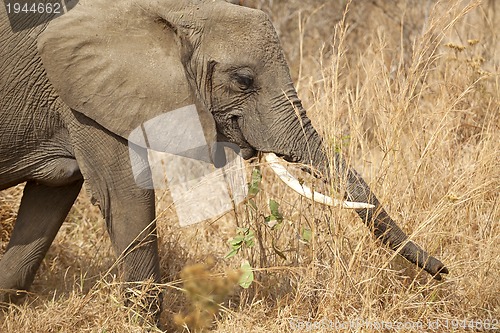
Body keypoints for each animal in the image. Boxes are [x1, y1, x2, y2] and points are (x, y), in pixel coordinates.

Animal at [0, 0, 448, 322]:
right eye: (244, 81)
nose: (444, 272)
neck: (171, 10)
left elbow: (48, 206)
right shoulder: (82, 97)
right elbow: (124, 199)